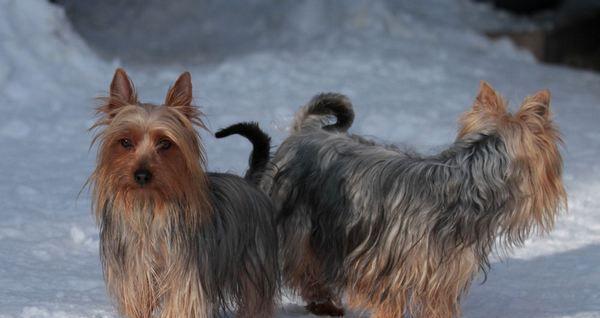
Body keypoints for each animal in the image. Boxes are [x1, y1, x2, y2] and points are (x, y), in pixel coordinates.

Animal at [88, 69, 278, 318]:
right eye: (126, 142)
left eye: (165, 143)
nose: (141, 175)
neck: (149, 206)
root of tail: (249, 181)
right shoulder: (135, 275)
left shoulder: (185, 278)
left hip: (255, 262)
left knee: (255, 300)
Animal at [224, 84, 564, 318]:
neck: (467, 180)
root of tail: (304, 132)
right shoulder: (387, 271)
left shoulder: (442, 277)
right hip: (296, 221)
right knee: (301, 264)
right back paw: (322, 302)